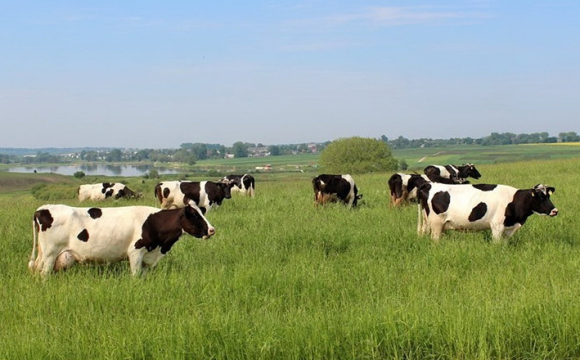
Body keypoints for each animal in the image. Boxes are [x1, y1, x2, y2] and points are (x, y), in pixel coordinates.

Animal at [28, 204, 215, 278]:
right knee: (44, 275)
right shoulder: (135, 252)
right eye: (195, 215)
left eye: (202, 212)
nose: (212, 230)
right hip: (50, 255)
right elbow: (135, 276)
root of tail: (42, 209)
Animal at [416, 183, 556, 242]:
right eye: (540, 197)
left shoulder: (508, 229)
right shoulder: (497, 226)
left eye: (548, 195)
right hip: (436, 225)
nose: (555, 211)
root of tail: (429, 184)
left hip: (429, 223)